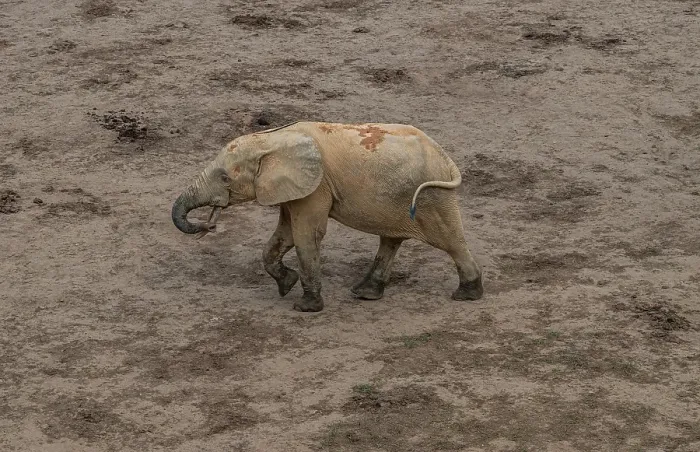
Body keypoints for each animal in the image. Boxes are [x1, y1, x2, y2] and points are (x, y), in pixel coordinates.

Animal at [171, 121, 484, 312]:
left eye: (225, 178)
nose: (208, 225)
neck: (272, 139)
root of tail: (445, 158)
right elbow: (285, 234)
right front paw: (286, 284)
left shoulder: (316, 185)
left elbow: (306, 234)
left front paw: (304, 307)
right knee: (391, 239)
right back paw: (364, 293)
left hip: (433, 196)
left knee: (450, 240)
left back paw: (467, 295)